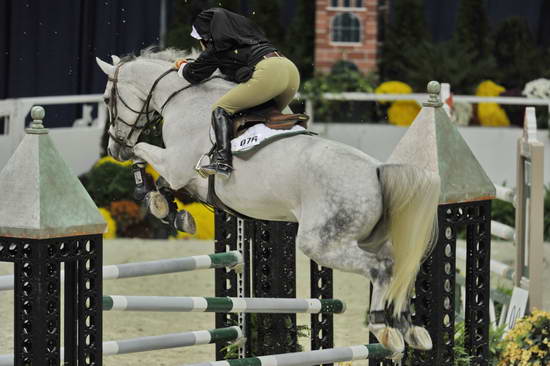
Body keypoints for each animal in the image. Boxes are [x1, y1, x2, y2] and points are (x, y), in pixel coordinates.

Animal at [97, 48, 442, 354]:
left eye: (105, 100)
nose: (113, 148)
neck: (184, 99)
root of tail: (377, 171)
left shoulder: (176, 164)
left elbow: (142, 153)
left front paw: (150, 196)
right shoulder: (188, 176)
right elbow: (164, 184)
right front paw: (172, 211)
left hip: (322, 243)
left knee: (381, 268)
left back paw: (385, 329)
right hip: (370, 238)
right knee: (401, 268)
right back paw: (409, 329)